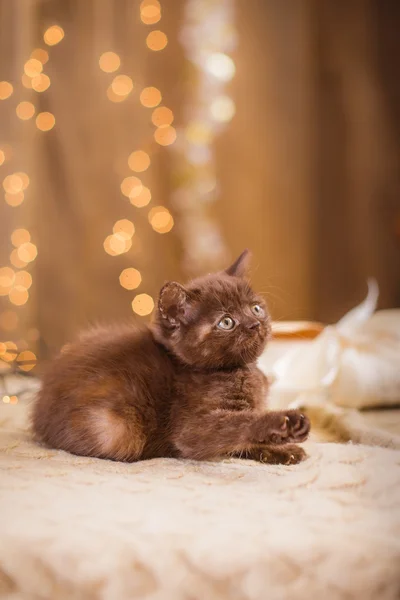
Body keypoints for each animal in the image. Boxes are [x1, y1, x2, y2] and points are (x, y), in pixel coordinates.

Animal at [32, 251, 310, 466]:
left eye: (256, 308)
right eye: (226, 322)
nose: (255, 324)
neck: (241, 370)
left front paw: (280, 451)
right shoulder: (190, 429)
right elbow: (236, 426)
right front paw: (283, 425)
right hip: (115, 430)